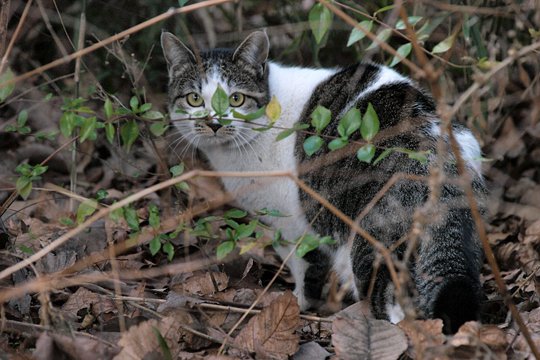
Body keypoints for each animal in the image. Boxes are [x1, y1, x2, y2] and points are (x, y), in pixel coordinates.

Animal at [160, 29, 486, 334]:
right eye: (194, 99)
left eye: (236, 98)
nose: (215, 123)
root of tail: (436, 150)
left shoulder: (292, 224)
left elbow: (303, 267)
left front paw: (296, 303)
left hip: (371, 239)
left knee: (390, 302)